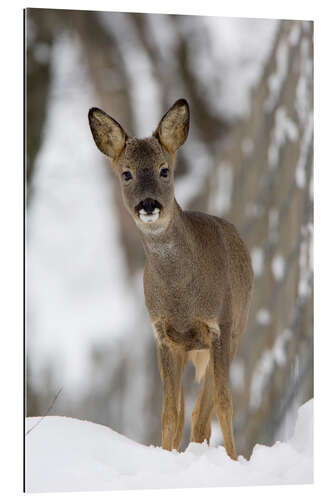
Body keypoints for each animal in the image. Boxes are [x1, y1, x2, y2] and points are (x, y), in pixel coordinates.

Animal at [87, 98, 253, 460]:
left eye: (165, 169)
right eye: (126, 173)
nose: (148, 204)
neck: (182, 297)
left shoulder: (220, 325)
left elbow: (224, 404)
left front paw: (234, 459)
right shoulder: (162, 335)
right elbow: (169, 414)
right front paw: (166, 456)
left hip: (237, 329)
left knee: (204, 412)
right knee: (189, 413)